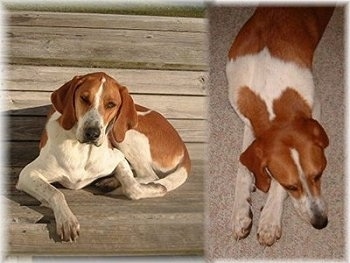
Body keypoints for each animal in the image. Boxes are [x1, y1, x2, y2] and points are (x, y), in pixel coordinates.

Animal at [16, 71, 191, 241]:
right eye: (84, 98)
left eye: (111, 104)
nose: (92, 133)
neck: (82, 149)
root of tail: (183, 146)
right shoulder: (27, 174)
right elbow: (55, 192)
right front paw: (67, 220)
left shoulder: (118, 156)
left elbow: (132, 187)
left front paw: (155, 189)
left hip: (124, 135)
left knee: (148, 174)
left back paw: (114, 182)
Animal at [227, 8, 334, 248]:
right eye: (291, 187)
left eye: (319, 174)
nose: (321, 223)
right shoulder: (249, 122)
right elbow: (243, 165)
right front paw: (240, 212)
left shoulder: (316, 107)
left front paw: (269, 220)